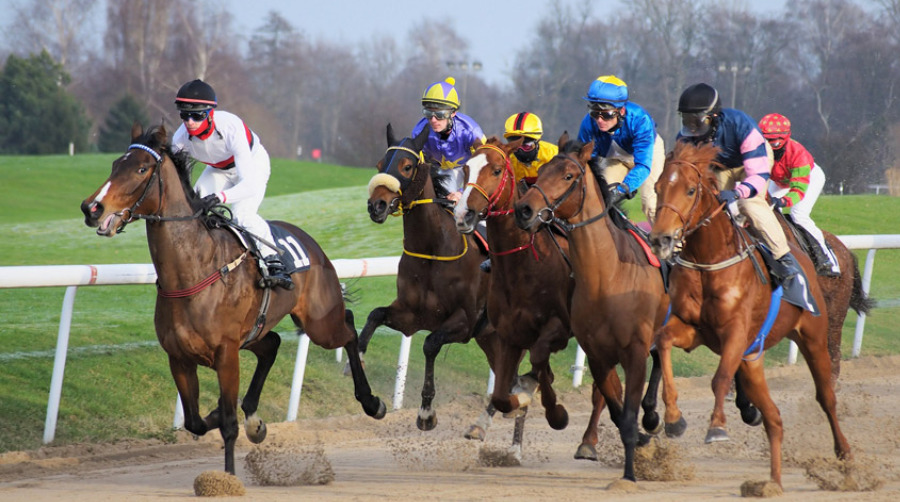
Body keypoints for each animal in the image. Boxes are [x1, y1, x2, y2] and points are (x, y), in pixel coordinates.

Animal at [80, 122, 384, 474]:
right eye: (116, 164)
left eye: (141, 169)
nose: (91, 208)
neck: (193, 272)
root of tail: (312, 243)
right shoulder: (179, 357)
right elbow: (196, 421)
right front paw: (230, 416)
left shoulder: (226, 354)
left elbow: (228, 425)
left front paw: (229, 474)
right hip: (255, 332)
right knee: (273, 344)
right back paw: (254, 416)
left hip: (320, 323)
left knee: (347, 329)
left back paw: (372, 401)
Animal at [362, 123, 496, 430]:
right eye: (379, 165)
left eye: (407, 166)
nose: (376, 206)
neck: (434, 250)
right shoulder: (411, 315)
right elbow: (374, 316)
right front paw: (360, 373)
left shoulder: (466, 321)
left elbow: (430, 343)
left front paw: (426, 412)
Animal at [454, 137, 628, 458]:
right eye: (465, 169)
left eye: (496, 170)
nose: (463, 215)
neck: (522, 265)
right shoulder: (508, 334)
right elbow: (503, 392)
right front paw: (521, 397)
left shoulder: (557, 329)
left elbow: (538, 364)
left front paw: (554, 412)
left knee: (605, 387)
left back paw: (589, 441)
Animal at [512, 134, 668, 482]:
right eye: (542, 170)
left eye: (568, 176)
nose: (524, 209)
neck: (606, 276)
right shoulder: (597, 354)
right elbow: (618, 411)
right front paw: (638, 442)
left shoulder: (634, 350)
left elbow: (628, 412)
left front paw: (630, 476)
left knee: (663, 357)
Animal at [648, 140, 852, 486]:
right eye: (658, 187)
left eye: (690, 190)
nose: (660, 239)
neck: (709, 261)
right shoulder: (691, 328)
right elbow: (662, 342)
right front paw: (674, 419)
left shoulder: (735, 332)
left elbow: (719, 378)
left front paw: (717, 427)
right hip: (752, 358)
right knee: (773, 416)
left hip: (815, 336)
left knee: (826, 395)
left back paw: (844, 452)